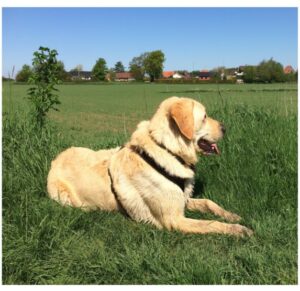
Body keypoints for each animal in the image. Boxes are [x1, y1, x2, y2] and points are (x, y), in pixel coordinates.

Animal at [47, 97, 253, 238]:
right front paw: (239, 230)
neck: (168, 150)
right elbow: (211, 224)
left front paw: (231, 216)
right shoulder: (174, 220)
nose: (225, 127)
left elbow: (209, 203)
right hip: (63, 196)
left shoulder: (181, 200)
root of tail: (55, 159)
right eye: (204, 117)